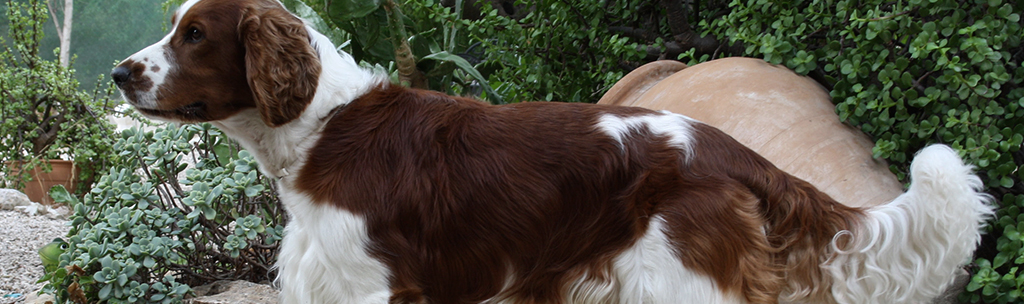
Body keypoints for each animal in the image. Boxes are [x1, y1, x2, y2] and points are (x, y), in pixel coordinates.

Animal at [112, 0, 991, 302]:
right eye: (173, 25)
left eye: (195, 35)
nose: (119, 72)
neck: (322, 126)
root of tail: (730, 152)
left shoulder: (371, 287)